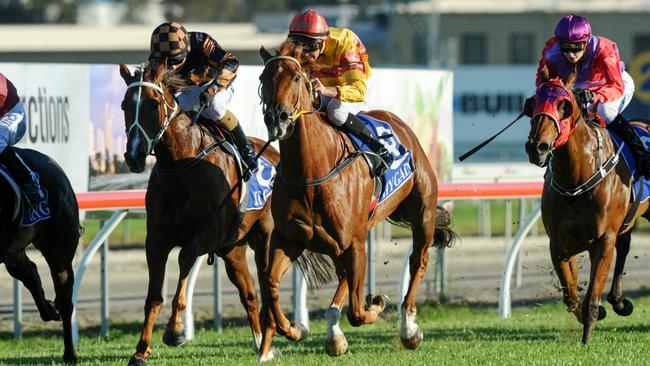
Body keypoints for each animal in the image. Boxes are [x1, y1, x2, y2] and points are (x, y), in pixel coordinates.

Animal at [0, 148, 81, 364]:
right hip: (14, 252)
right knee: (32, 274)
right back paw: (50, 309)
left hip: (59, 253)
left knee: (66, 301)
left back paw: (70, 354)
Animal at [117, 61, 280, 364]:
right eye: (125, 105)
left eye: (153, 104)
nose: (134, 156)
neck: (181, 164)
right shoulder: (156, 239)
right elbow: (153, 296)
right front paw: (141, 351)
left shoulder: (205, 234)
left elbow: (183, 263)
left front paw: (175, 332)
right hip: (233, 248)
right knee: (250, 293)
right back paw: (260, 342)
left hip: (266, 237)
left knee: (267, 285)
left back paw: (270, 340)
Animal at [256, 40, 456, 360]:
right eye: (264, 78)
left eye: (297, 78)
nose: (278, 119)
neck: (312, 171)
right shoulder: (289, 239)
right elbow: (271, 285)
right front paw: (293, 330)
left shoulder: (355, 242)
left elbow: (358, 312)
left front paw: (377, 304)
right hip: (343, 244)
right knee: (343, 278)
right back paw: (333, 334)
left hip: (421, 214)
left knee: (418, 261)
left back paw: (408, 328)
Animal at [524, 73, 644, 344]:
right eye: (533, 102)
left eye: (563, 105)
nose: (537, 147)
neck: (576, 179)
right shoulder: (560, 243)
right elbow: (570, 293)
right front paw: (594, 313)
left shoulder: (603, 239)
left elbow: (591, 295)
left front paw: (587, 335)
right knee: (624, 244)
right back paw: (618, 302)